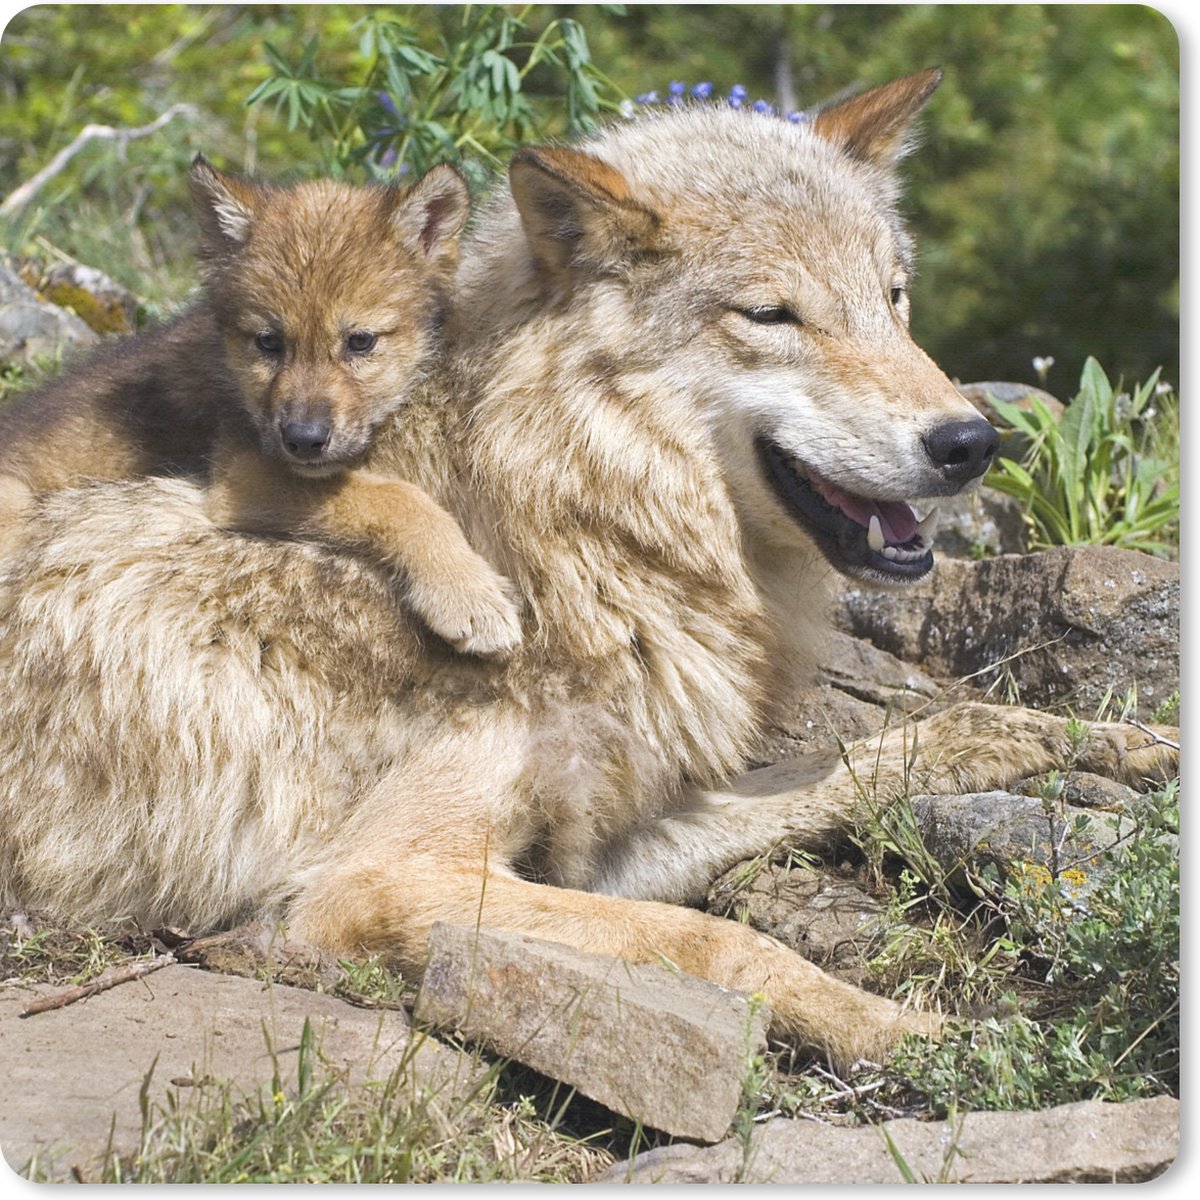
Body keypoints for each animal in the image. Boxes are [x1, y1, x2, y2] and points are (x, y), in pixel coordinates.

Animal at [0, 159, 520, 655]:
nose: (304, 441)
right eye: (269, 342)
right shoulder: (242, 472)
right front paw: (466, 591)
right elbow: (397, 499)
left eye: (360, 341)